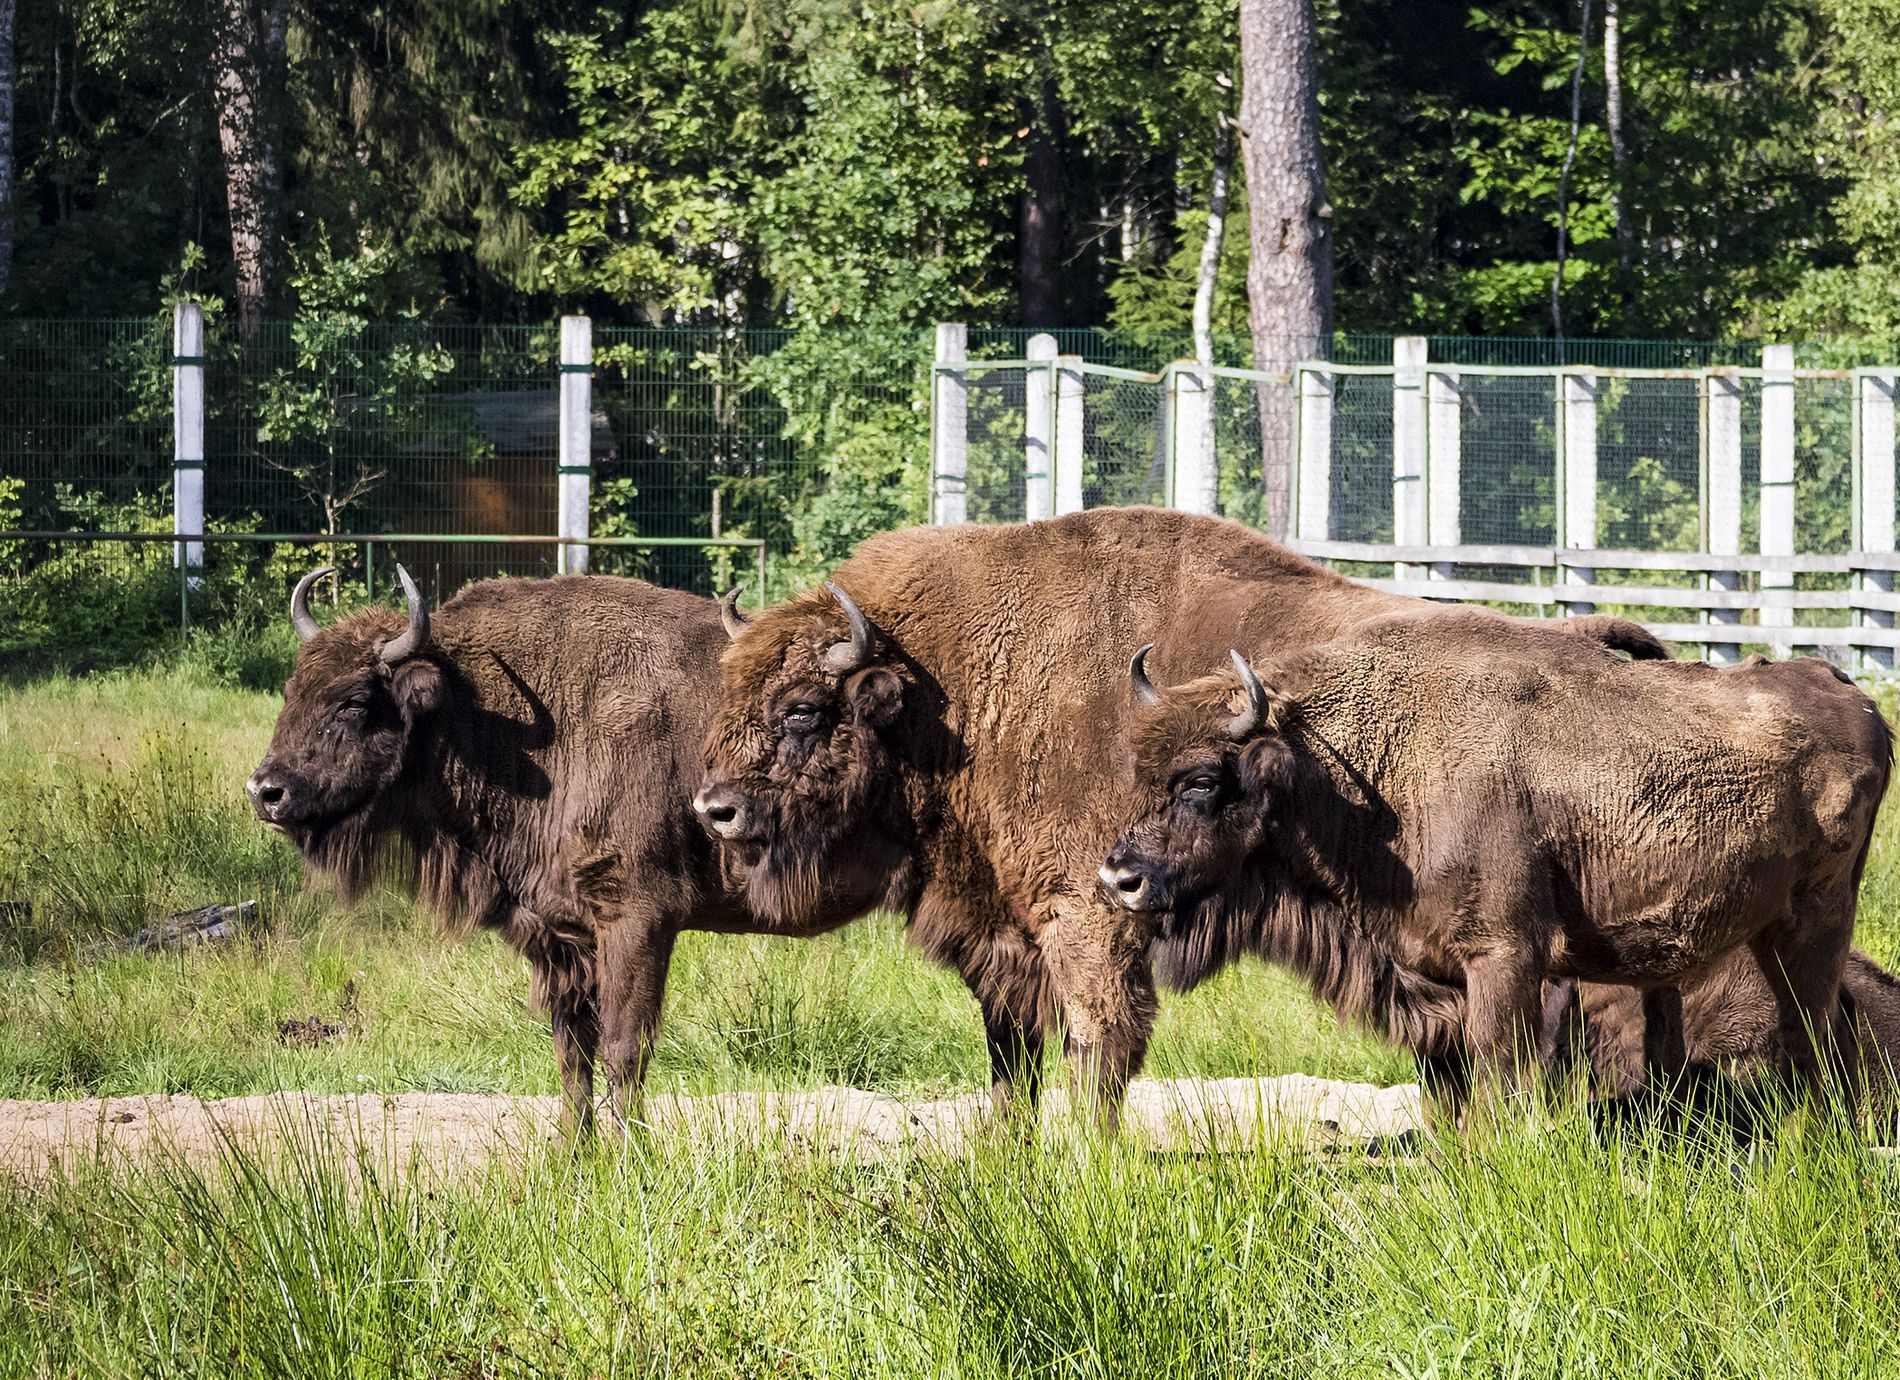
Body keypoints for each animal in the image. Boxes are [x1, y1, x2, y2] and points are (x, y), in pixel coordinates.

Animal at [243, 562, 832, 1132]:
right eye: (293, 689)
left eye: (354, 702)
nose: (265, 791)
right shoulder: (561, 935)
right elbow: (573, 1050)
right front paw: (573, 1148)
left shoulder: (639, 919)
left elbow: (625, 1047)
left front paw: (628, 1153)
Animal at [695, 509, 1664, 1125]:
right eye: (729, 690)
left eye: (801, 710)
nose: (715, 809)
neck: (961, 691)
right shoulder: (1005, 939)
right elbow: (1012, 1063)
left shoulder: (1091, 916)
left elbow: (1099, 1049)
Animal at [1102, 615, 1884, 1110]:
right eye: (1137, 772)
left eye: (1203, 780)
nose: (1120, 878)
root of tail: (1848, 691)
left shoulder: (1505, 957)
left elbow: (1502, 1078)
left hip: (1815, 926)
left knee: (1812, 1041)